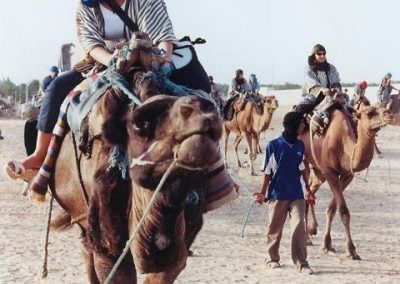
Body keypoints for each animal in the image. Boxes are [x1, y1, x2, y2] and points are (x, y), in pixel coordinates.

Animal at [300, 102, 390, 260]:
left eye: (382, 107)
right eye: (369, 112)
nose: (388, 114)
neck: (344, 148)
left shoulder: (347, 175)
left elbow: (332, 209)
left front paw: (328, 244)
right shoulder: (330, 172)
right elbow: (343, 211)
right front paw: (351, 249)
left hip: (318, 171)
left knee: (311, 191)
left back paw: (311, 232)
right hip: (305, 161)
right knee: (306, 191)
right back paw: (307, 236)